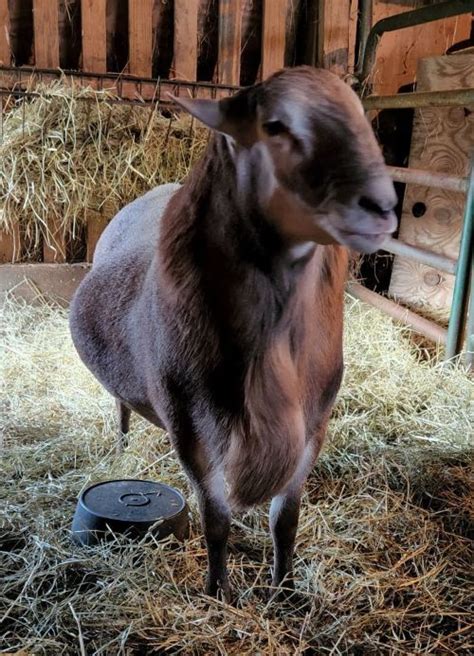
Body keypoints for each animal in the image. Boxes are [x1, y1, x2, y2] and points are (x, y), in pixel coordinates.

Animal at [70, 65, 396, 600]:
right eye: (275, 125)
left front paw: (285, 590)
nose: (384, 207)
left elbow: (286, 520)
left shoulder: (313, 427)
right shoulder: (190, 427)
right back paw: (120, 446)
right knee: (120, 406)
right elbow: (216, 519)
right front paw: (218, 589)